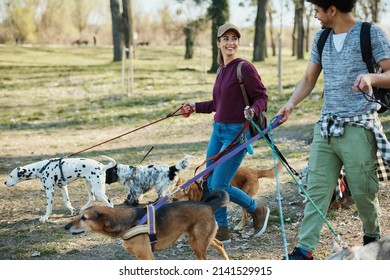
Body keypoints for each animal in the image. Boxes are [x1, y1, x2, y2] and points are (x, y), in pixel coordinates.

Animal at [65, 189, 230, 260]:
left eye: (84, 218)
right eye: (79, 215)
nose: (65, 227)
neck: (128, 222)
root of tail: (209, 205)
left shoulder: (148, 256)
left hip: (197, 243)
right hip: (201, 239)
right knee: (220, 244)